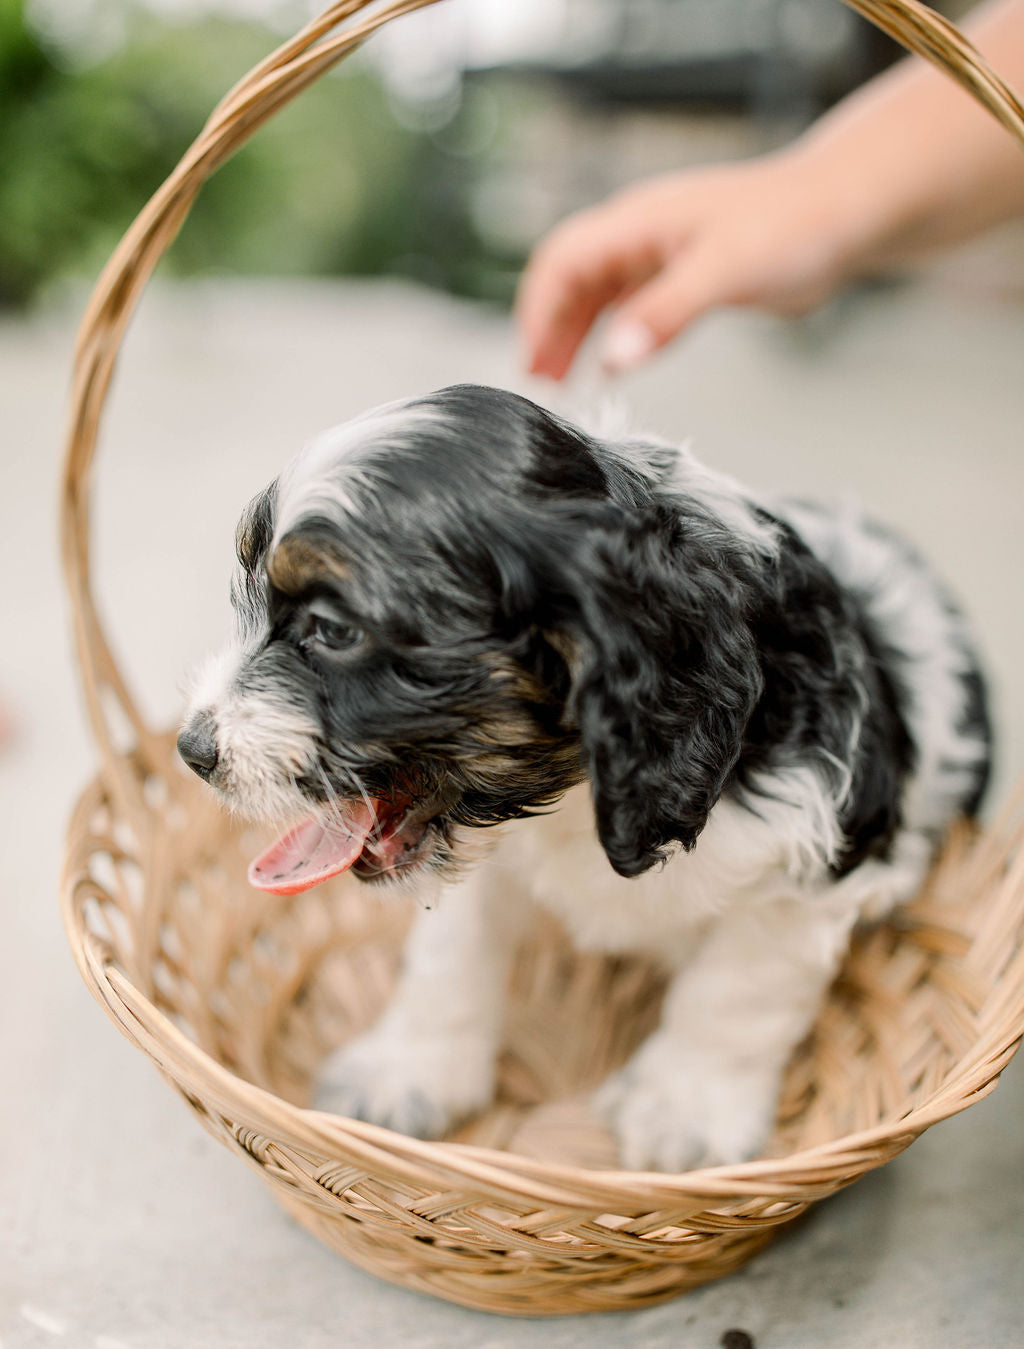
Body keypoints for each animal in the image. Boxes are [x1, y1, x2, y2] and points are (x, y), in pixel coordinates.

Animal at [180, 383, 987, 1170]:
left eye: (334, 630)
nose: (192, 750)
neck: (580, 793)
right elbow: (447, 961)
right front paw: (405, 1072)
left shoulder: (813, 864)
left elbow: (735, 996)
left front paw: (684, 1113)